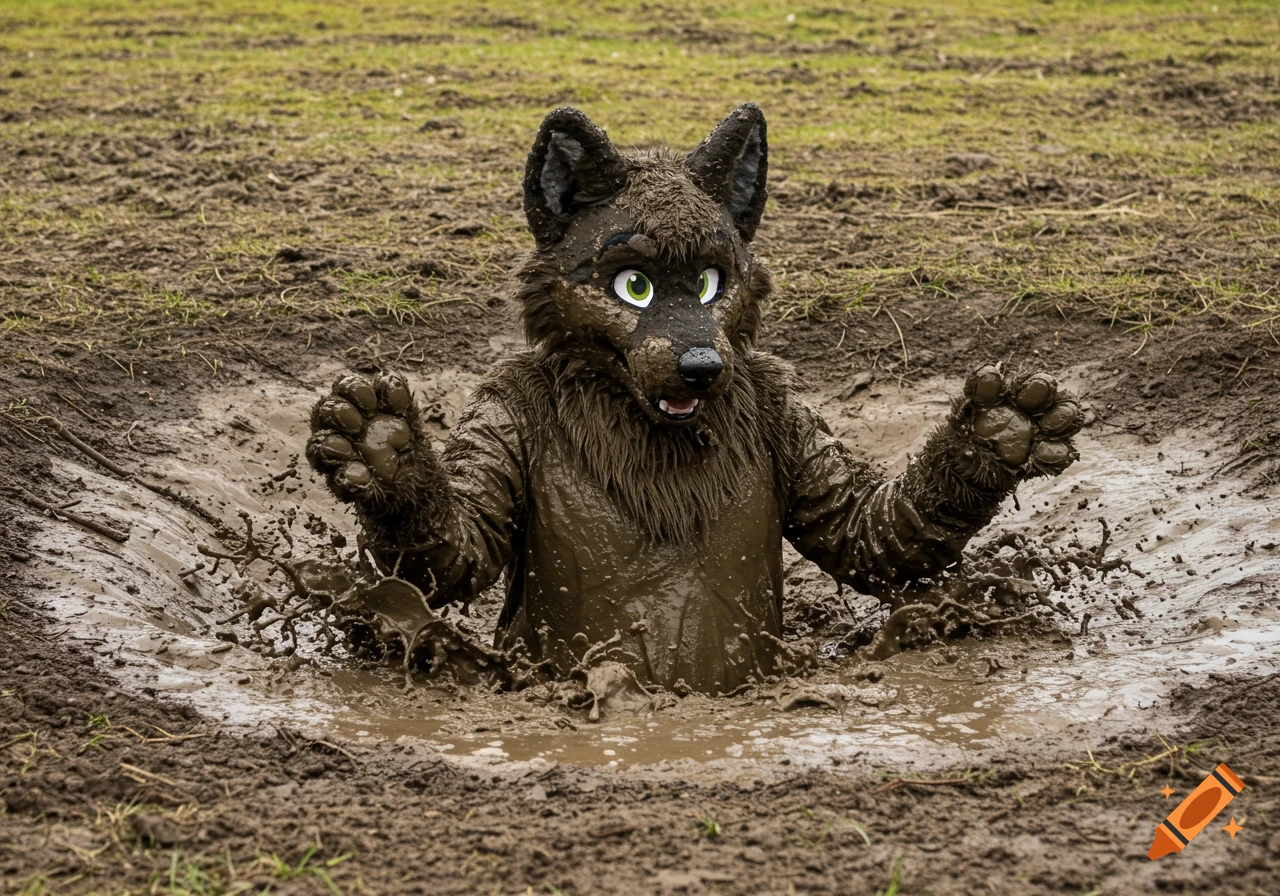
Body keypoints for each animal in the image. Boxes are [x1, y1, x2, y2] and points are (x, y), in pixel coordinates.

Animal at [305, 104, 1084, 694]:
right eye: (635, 286)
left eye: (712, 283)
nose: (703, 365)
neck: (648, 430)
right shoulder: (502, 414)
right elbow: (456, 550)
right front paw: (382, 448)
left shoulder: (787, 416)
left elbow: (870, 531)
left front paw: (999, 429)